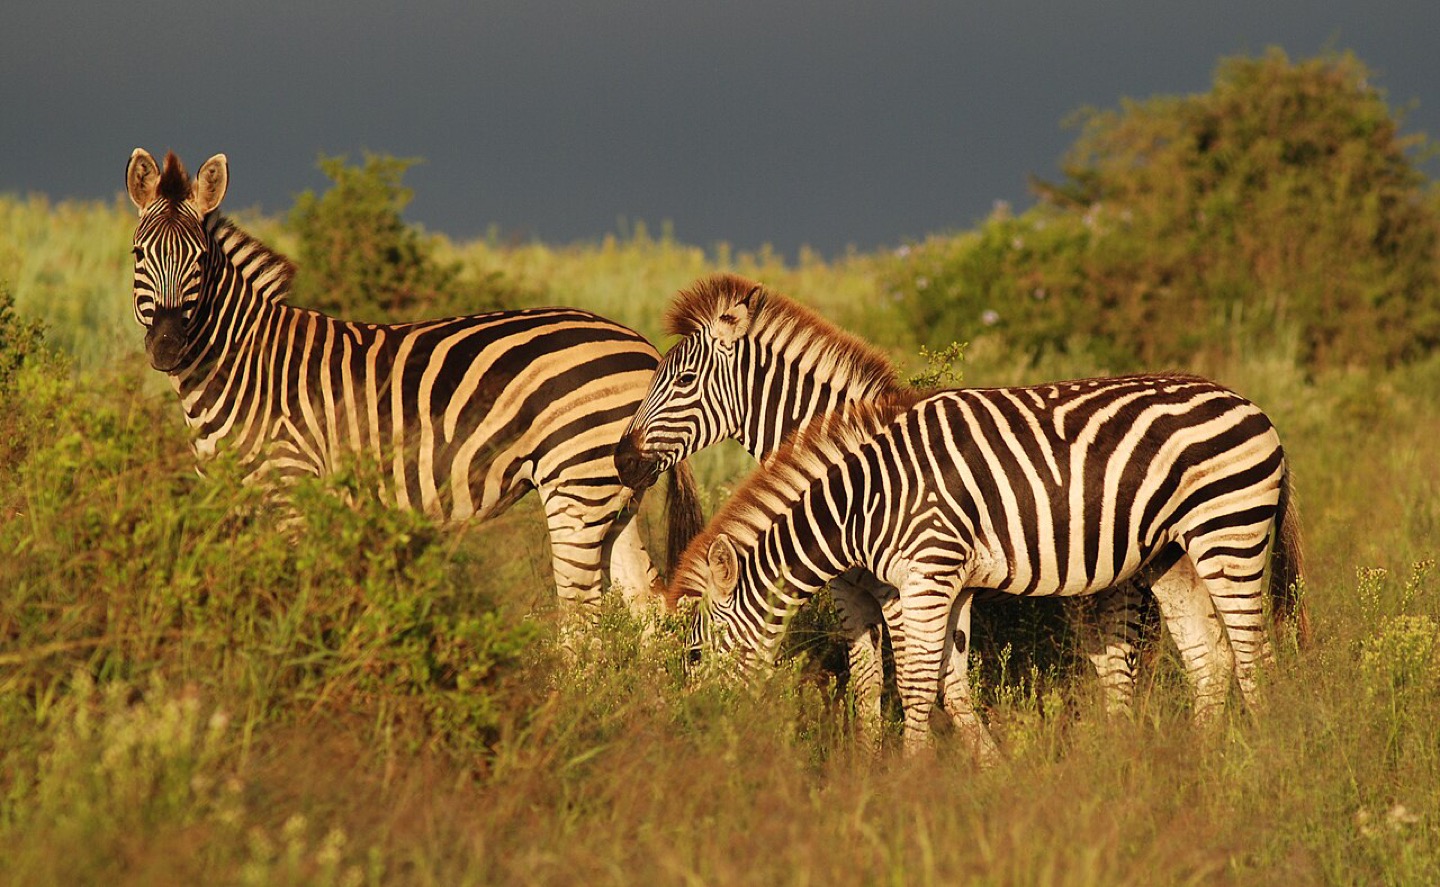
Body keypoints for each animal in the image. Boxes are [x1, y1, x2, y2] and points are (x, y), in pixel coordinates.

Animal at [125, 148, 701, 614]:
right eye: (137, 254)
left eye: (201, 260)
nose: (167, 347)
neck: (245, 365)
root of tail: (647, 350)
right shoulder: (228, 499)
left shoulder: (293, 491)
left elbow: (293, 592)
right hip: (615, 493)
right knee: (647, 605)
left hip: (577, 482)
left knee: (585, 617)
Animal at [614, 274, 1146, 750]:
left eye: (684, 381)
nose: (621, 461)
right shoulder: (852, 591)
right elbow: (869, 681)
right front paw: (871, 766)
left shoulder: (903, 586)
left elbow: (925, 682)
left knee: (1125, 672)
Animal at [674, 378, 1306, 754]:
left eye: (700, 649)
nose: (699, 724)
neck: (865, 503)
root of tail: (1256, 408)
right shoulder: (944, 584)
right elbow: (943, 682)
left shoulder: (928, 572)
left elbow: (915, 682)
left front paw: (908, 780)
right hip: (1172, 554)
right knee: (1211, 657)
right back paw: (1199, 764)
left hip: (1229, 527)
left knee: (1255, 655)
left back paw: (1266, 759)